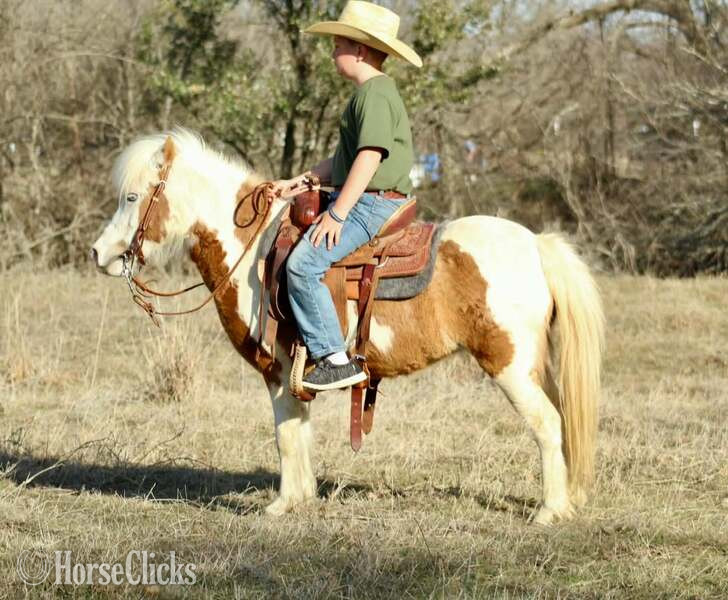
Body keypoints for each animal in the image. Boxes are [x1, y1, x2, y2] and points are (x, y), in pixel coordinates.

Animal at [90, 129, 604, 525]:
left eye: (132, 197)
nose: (98, 253)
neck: (255, 248)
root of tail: (536, 244)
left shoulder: (277, 370)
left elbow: (285, 434)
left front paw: (281, 505)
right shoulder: (292, 374)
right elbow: (298, 431)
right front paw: (299, 499)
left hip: (509, 366)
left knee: (547, 423)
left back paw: (549, 511)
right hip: (536, 367)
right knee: (562, 423)